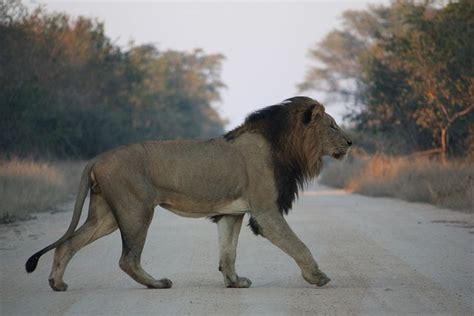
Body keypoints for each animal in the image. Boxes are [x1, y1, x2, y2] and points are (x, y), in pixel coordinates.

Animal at [25, 96, 352, 292]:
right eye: (332, 126)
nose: (351, 142)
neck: (286, 146)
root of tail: (97, 158)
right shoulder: (265, 212)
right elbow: (299, 245)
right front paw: (317, 277)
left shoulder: (231, 213)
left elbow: (228, 252)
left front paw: (234, 282)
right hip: (136, 210)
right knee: (127, 259)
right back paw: (157, 284)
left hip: (106, 216)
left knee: (68, 244)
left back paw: (57, 283)